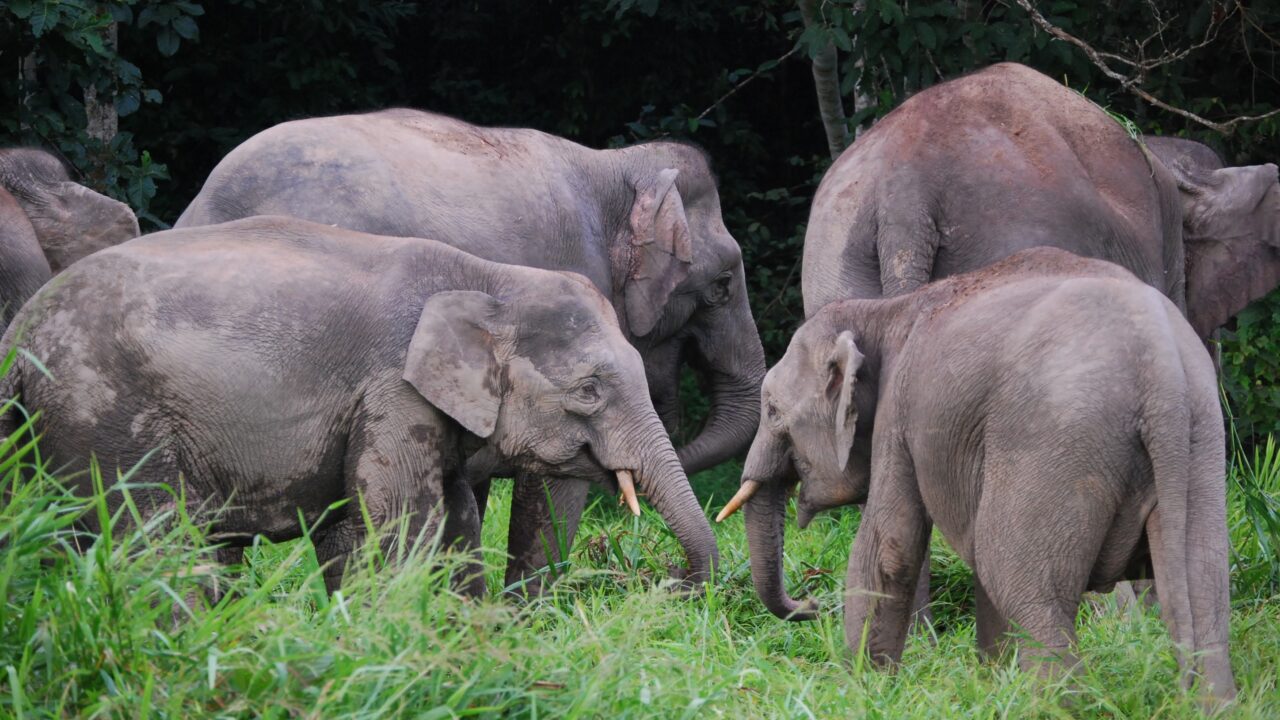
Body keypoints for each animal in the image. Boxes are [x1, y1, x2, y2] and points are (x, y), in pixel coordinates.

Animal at [0, 212, 721, 594]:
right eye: (590, 390)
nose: (667, 584)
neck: (490, 280)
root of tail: (20, 335)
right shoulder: (391, 391)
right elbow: (403, 521)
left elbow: (453, 520)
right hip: (106, 416)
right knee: (150, 542)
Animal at [721, 245, 1228, 702]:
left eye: (772, 410)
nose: (810, 603)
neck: (885, 312)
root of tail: (1161, 376)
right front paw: (990, 683)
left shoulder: (900, 411)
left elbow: (890, 546)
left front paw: (860, 693)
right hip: (1199, 442)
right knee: (1203, 590)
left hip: (1054, 439)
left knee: (1016, 577)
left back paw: (1057, 705)